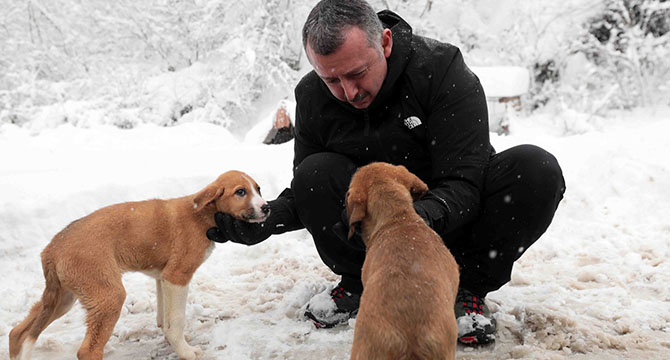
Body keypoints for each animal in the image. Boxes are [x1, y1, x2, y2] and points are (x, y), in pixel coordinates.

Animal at [8, 171, 268, 360]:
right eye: (240, 192)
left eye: (258, 189)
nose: (266, 207)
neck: (203, 214)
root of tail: (52, 248)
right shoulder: (177, 276)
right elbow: (177, 320)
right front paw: (186, 352)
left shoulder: (163, 278)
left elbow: (165, 319)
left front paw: (171, 341)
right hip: (107, 297)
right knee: (87, 351)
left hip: (64, 297)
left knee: (18, 332)